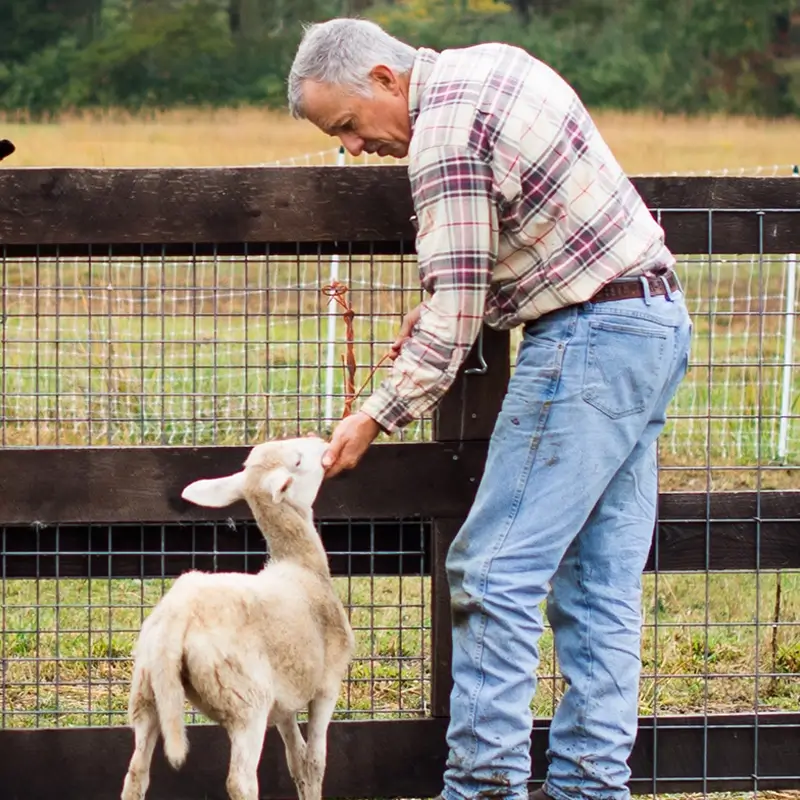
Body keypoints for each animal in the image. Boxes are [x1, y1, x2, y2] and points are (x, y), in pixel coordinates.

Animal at [119, 438, 356, 800]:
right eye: (298, 460)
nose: (322, 442)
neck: (302, 565)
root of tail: (178, 616)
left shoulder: (283, 703)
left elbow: (296, 761)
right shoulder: (327, 684)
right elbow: (315, 762)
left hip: (146, 690)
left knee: (135, 774)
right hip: (245, 700)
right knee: (240, 780)